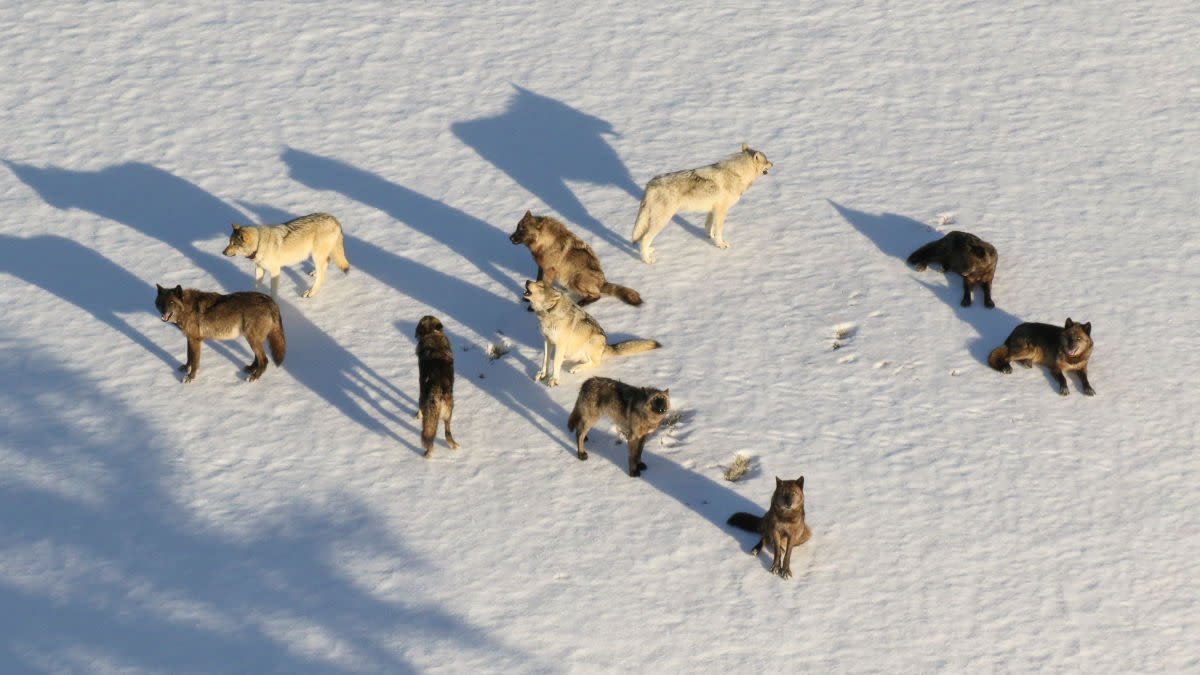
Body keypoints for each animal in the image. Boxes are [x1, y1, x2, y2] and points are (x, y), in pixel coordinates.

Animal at [154, 284, 285, 383]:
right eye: (161, 302)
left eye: (171, 302)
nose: (164, 313)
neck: (187, 308)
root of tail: (271, 301)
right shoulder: (190, 339)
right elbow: (189, 356)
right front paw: (186, 368)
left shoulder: (196, 340)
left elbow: (195, 361)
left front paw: (190, 377)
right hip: (253, 339)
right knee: (258, 358)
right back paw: (250, 369)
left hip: (252, 339)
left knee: (264, 360)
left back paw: (254, 377)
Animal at [415, 315, 460, 457]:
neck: (433, 333)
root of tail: (438, 391)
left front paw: (416, 416)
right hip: (448, 413)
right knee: (447, 433)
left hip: (428, 410)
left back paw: (427, 455)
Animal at [509, 210, 642, 306]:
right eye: (517, 227)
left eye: (523, 229)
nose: (510, 238)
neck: (545, 243)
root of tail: (603, 282)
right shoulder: (541, 267)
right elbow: (537, 282)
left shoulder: (549, 270)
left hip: (577, 279)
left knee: (597, 295)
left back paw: (583, 302)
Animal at [522, 280, 660, 387]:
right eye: (536, 281)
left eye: (541, 286)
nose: (527, 281)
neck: (549, 313)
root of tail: (605, 346)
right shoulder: (547, 340)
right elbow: (545, 360)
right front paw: (542, 374)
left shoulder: (560, 344)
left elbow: (556, 363)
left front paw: (554, 380)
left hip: (591, 341)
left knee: (594, 362)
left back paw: (576, 368)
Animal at [632, 143, 773, 263]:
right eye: (766, 161)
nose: (773, 163)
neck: (737, 173)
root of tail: (650, 185)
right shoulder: (721, 211)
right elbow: (719, 231)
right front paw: (721, 245)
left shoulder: (712, 210)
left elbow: (708, 227)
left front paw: (710, 237)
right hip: (662, 221)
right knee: (644, 239)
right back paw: (648, 260)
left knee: (642, 239)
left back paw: (649, 251)